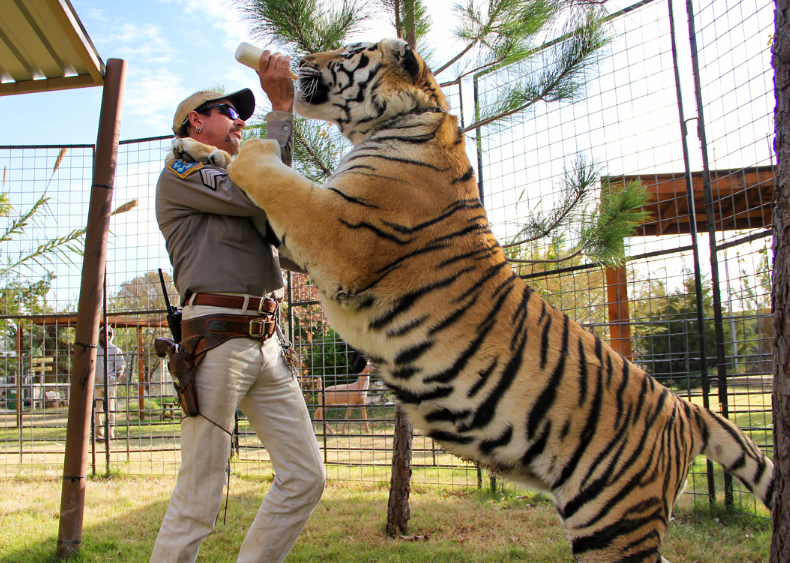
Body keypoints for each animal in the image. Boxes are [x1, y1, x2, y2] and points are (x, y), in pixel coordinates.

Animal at [178, 38, 772, 563]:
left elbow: (271, 175)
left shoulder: (337, 234)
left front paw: (245, 147)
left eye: (347, 51)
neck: (402, 120)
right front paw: (193, 148)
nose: (298, 58)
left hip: (613, 519)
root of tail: (685, 408)